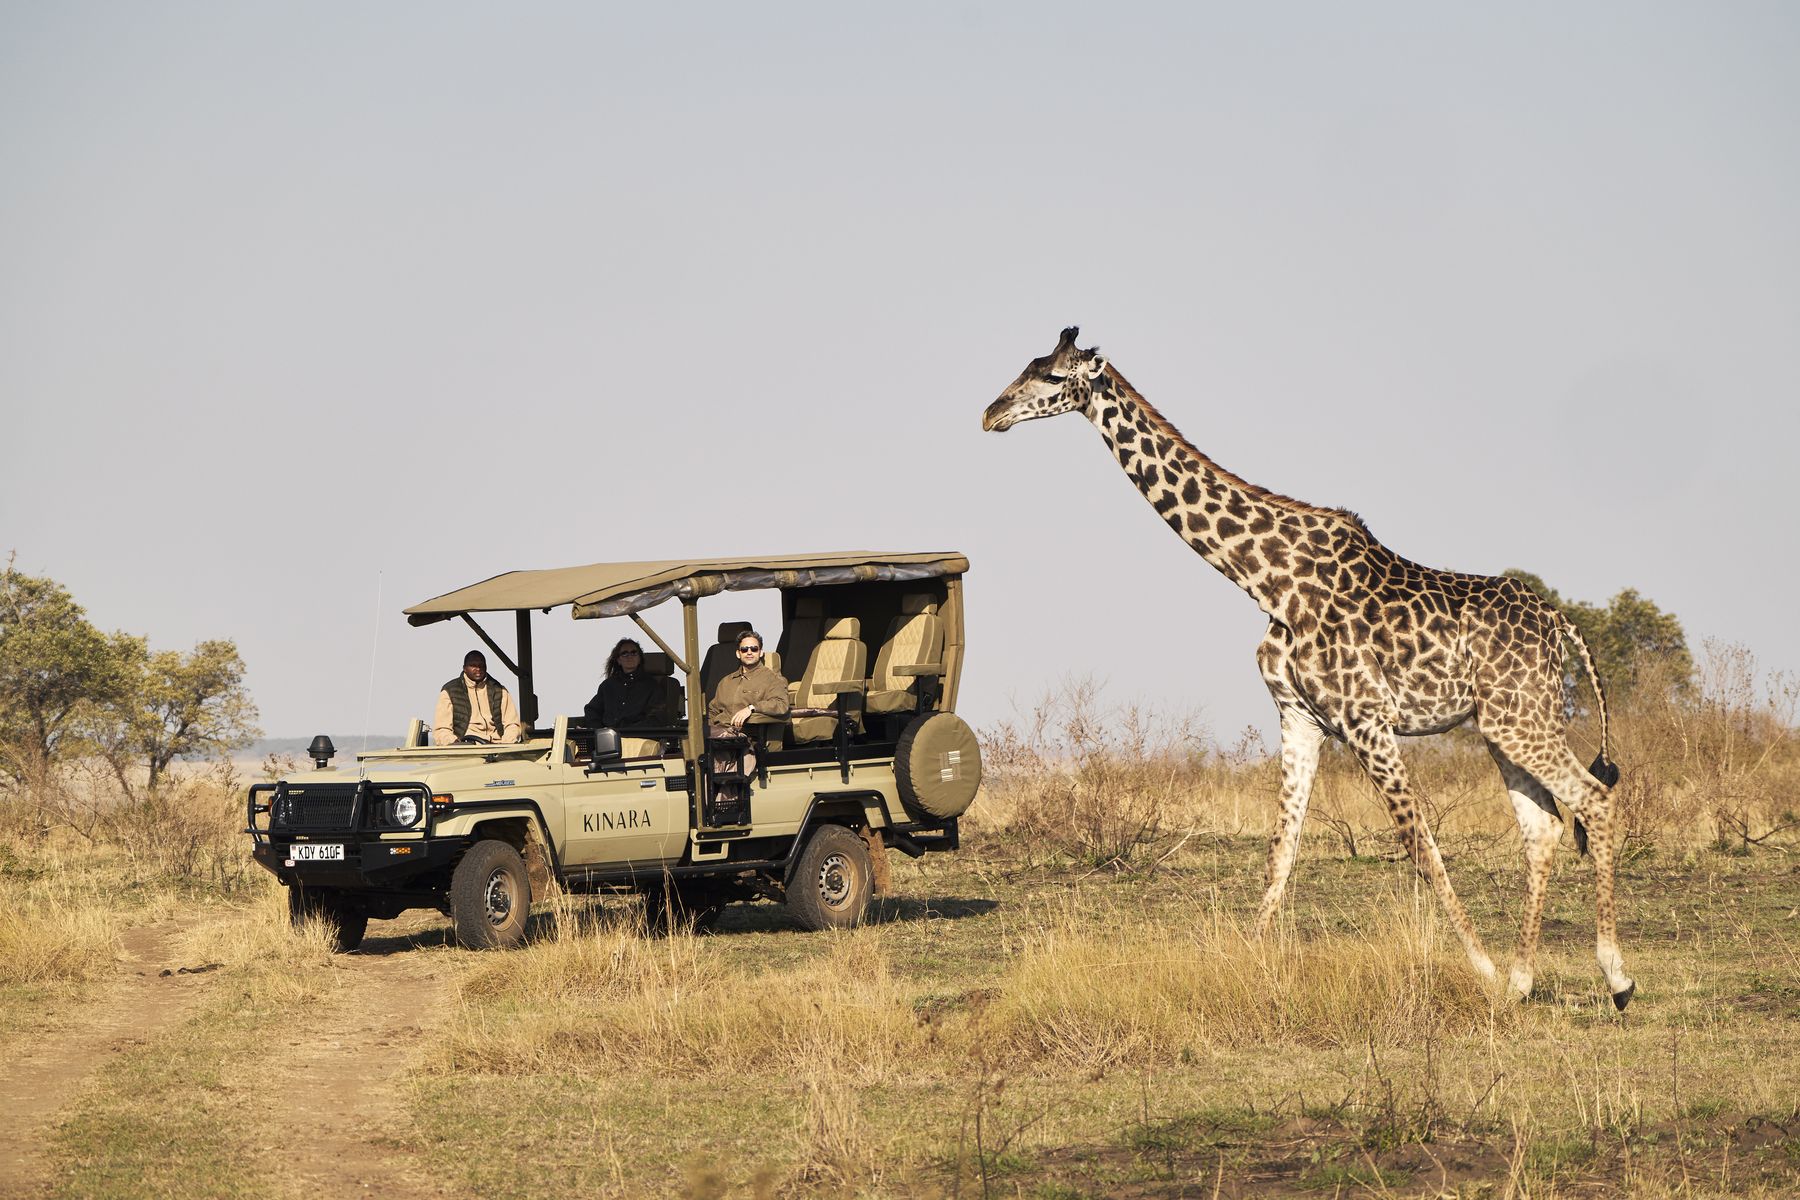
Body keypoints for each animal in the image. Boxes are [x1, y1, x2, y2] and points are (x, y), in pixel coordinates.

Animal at [982, 327, 1635, 1010]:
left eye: (1054, 377)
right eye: (1031, 365)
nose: (991, 413)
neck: (1268, 581)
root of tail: (1562, 623)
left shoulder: (1366, 719)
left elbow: (1419, 844)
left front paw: (1478, 968)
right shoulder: (1299, 717)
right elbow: (1283, 846)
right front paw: (1248, 958)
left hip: (1520, 717)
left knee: (1594, 800)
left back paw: (1615, 977)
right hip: (1502, 723)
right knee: (1545, 827)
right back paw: (1520, 981)